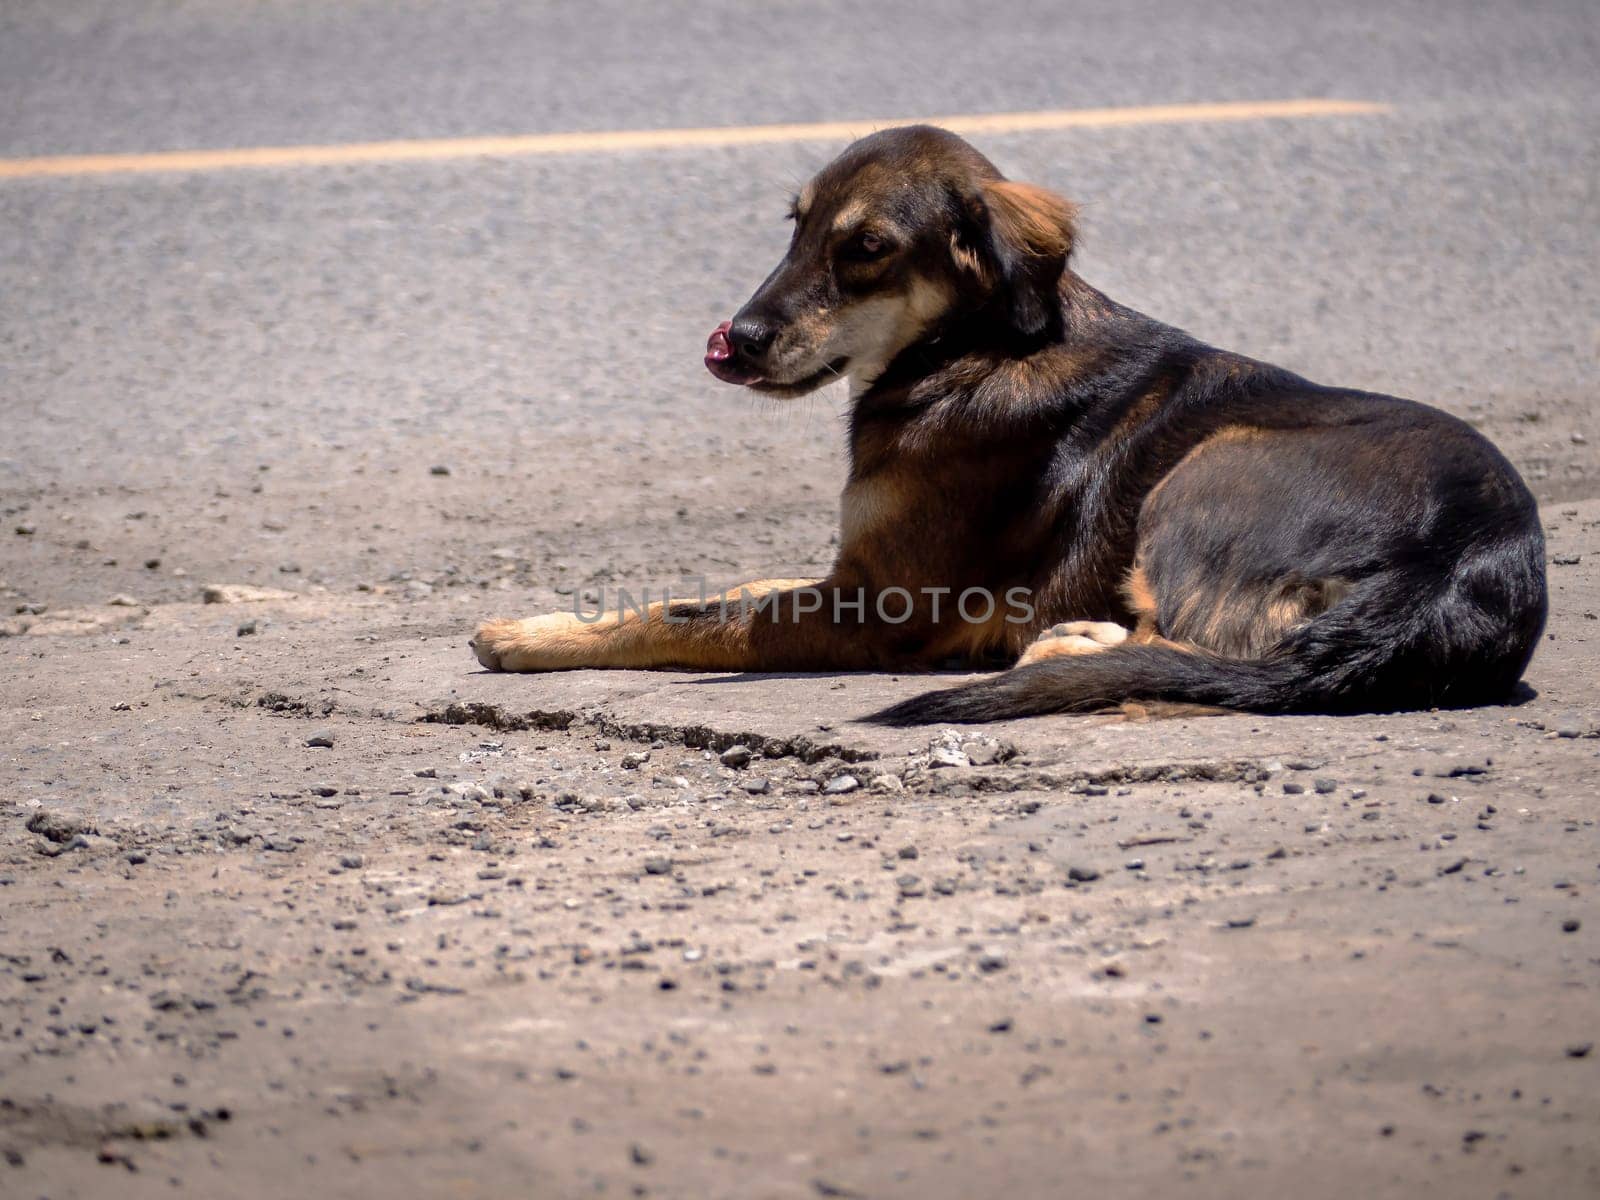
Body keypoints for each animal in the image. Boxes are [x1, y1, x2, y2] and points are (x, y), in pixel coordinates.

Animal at [467, 124, 1542, 723]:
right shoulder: (850, 572)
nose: (736, 340)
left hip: (1209, 469)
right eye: (796, 226)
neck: (969, 350)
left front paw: (528, 634)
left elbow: (692, 618)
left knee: (1216, 647)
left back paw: (1073, 648)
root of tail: (1459, 559)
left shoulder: (879, 609)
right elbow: (731, 587)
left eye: (868, 247)